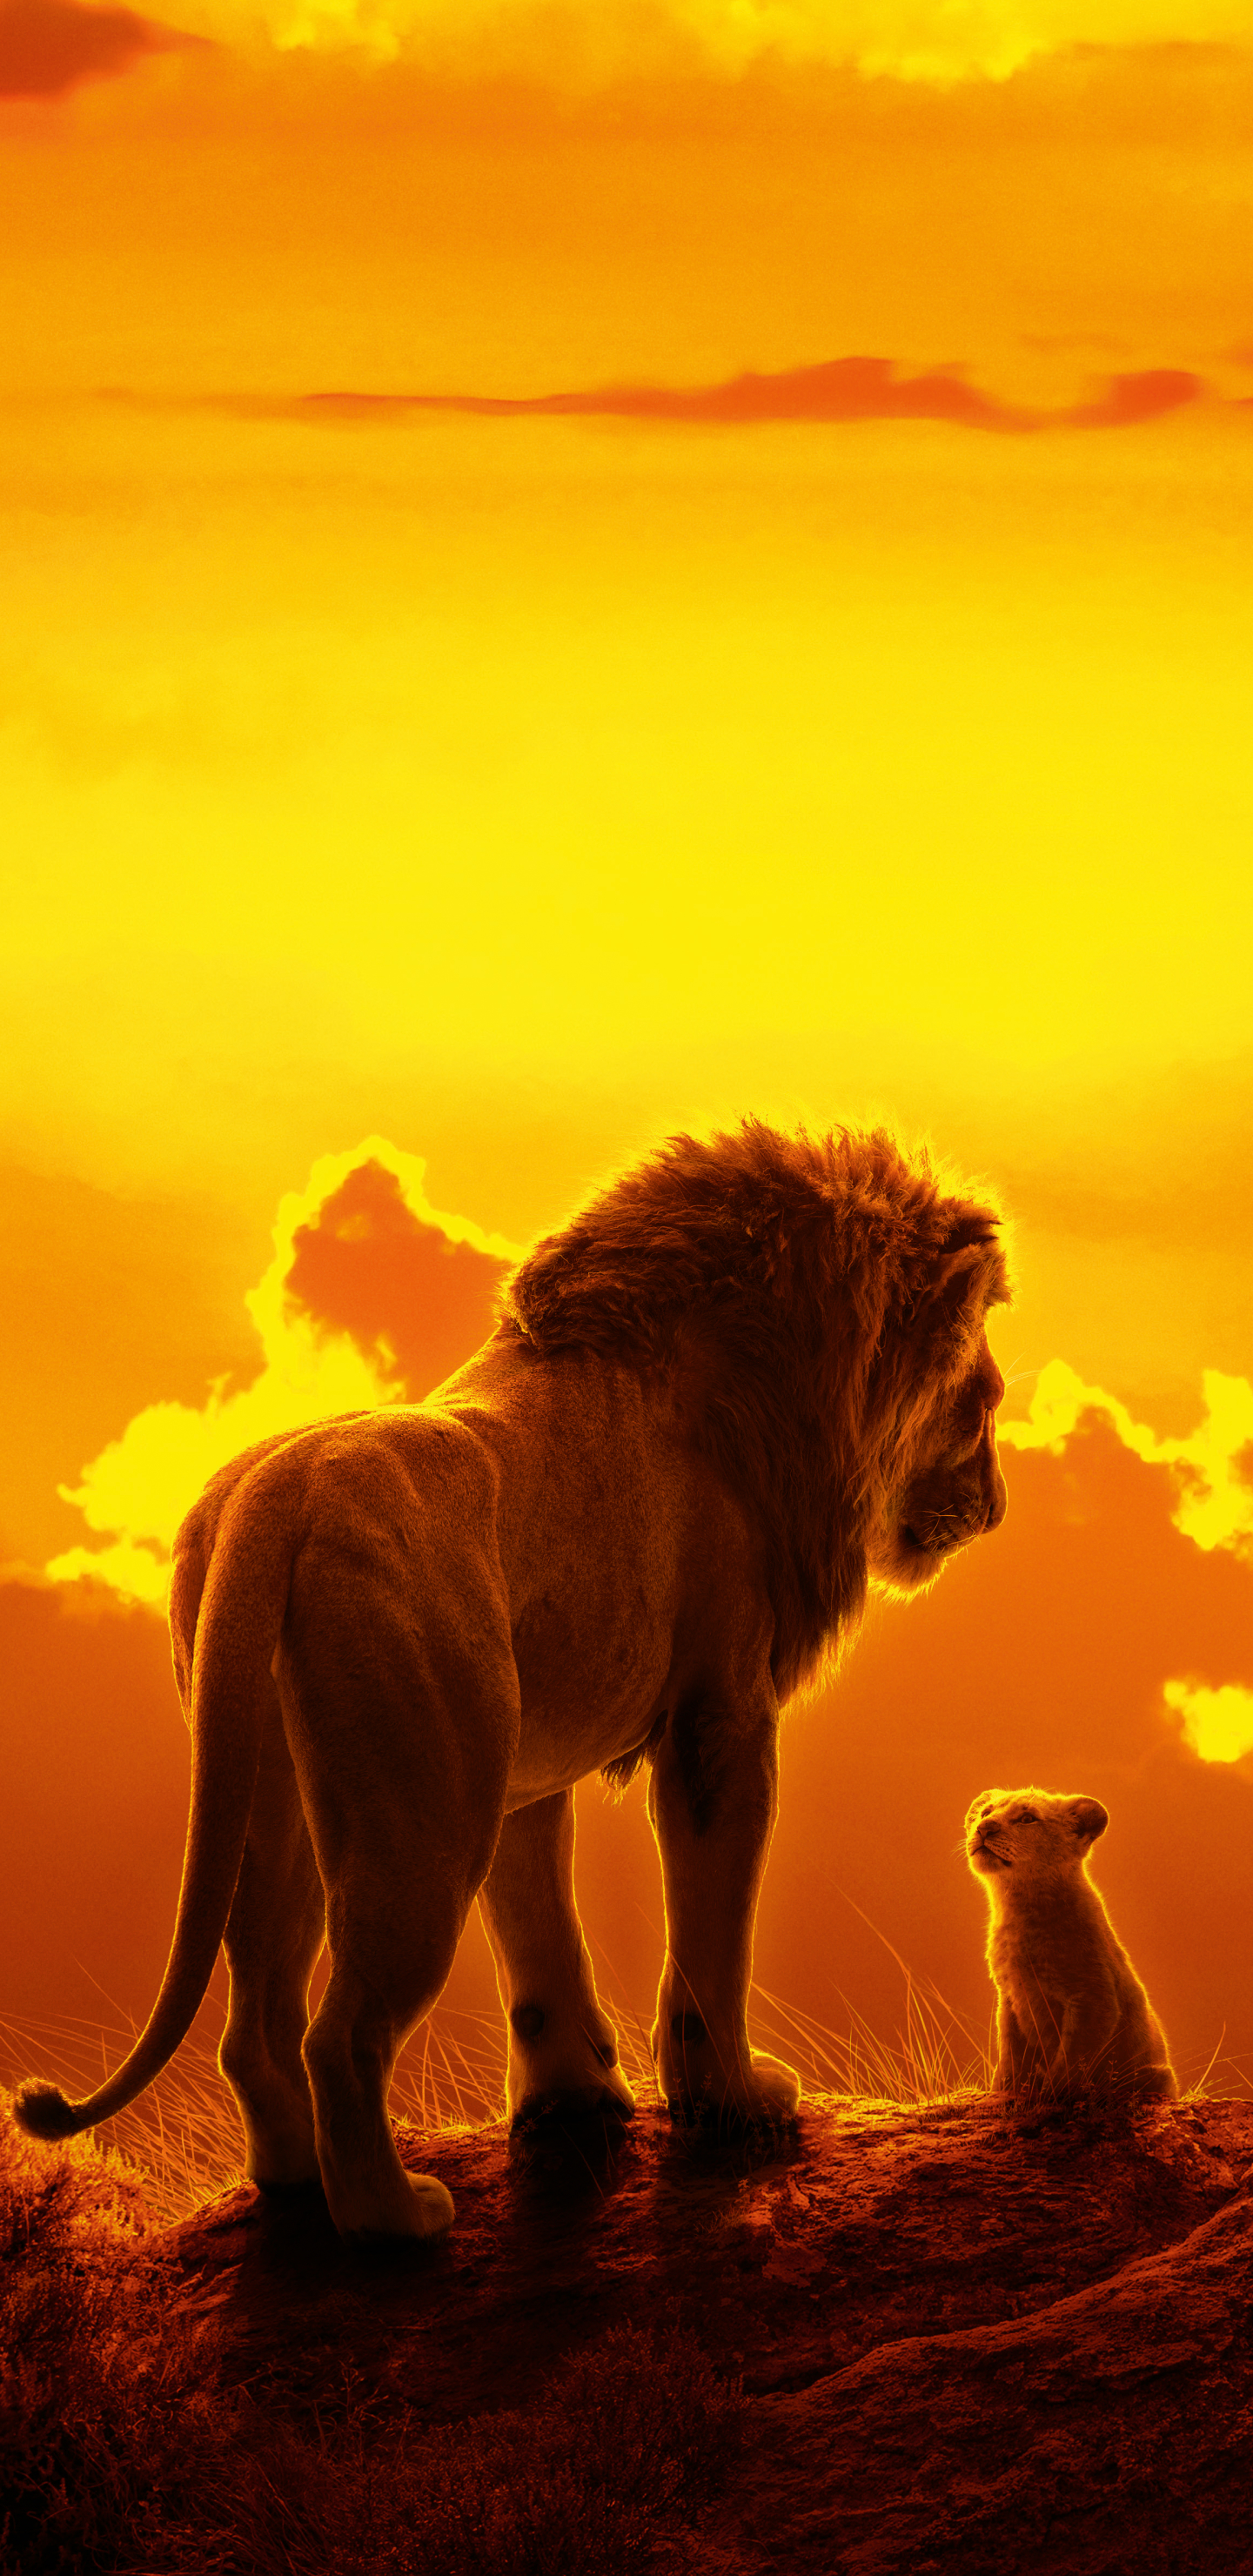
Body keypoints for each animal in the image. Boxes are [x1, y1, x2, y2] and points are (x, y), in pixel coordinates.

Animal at [15, 1120, 1010, 2243]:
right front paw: (735, 2101)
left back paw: (295, 2185)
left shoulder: (524, 1765)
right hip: (424, 1818)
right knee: (341, 2034)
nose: (997, 1505)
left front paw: (573, 2098)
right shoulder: (721, 1715)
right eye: (983, 1403)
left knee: (258, 2021)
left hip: (277, 1797)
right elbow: (710, 1938)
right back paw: (393, 2216)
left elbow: (540, 1937)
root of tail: (276, 1496)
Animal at [966, 1786, 1177, 2102]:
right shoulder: (1010, 1997)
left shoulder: (1093, 1997)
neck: (1016, 1905)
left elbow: (1071, 2060)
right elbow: (1010, 2055)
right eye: (986, 1812)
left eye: (1027, 1818)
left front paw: (1050, 2097)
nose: (984, 1828)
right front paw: (1007, 2091)